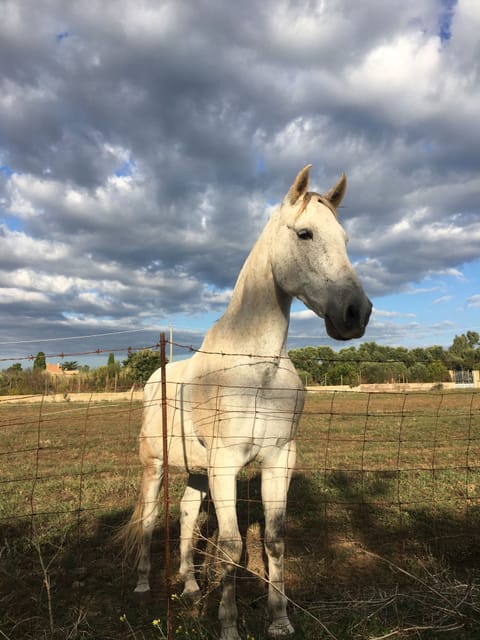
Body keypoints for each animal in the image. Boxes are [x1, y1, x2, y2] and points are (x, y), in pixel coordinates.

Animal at [123, 165, 372, 639]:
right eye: (305, 233)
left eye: (347, 239)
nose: (357, 313)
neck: (258, 370)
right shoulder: (226, 465)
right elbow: (231, 545)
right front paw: (229, 626)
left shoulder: (278, 460)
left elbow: (273, 540)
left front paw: (280, 620)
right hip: (154, 465)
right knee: (148, 518)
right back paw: (144, 585)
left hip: (196, 472)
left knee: (185, 516)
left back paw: (191, 588)